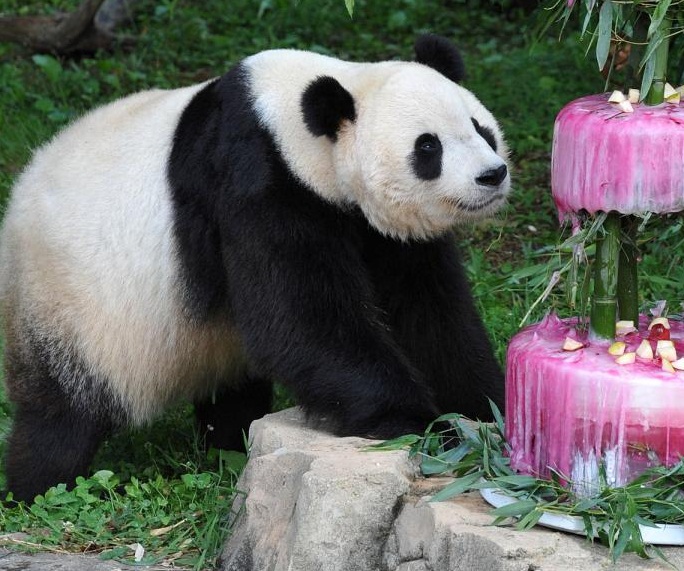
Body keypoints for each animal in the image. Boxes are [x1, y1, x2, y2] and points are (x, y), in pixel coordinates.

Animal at [0, 34, 508, 500]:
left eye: (481, 128)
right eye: (428, 147)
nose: (492, 175)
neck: (291, 124)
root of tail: (20, 191)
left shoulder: (377, 230)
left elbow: (430, 314)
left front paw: (484, 411)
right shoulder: (254, 179)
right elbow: (301, 321)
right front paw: (423, 424)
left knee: (232, 388)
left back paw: (228, 446)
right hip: (67, 301)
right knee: (63, 413)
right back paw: (36, 487)